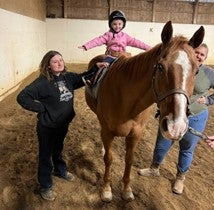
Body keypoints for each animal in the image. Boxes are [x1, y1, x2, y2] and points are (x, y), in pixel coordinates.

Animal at [84, 20, 203, 202]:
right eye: (160, 67)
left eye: (196, 70)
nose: (176, 126)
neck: (126, 99)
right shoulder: (108, 131)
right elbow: (109, 159)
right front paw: (106, 189)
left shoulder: (136, 134)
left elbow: (129, 159)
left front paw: (126, 190)